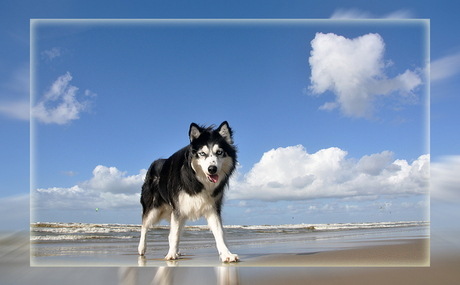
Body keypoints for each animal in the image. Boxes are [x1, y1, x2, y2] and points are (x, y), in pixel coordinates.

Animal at [137, 120, 239, 262]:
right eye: (202, 153)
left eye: (219, 152)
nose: (212, 169)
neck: (196, 179)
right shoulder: (178, 209)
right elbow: (174, 234)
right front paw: (171, 254)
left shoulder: (212, 207)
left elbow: (219, 232)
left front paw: (226, 254)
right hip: (153, 208)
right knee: (144, 226)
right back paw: (142, 248)